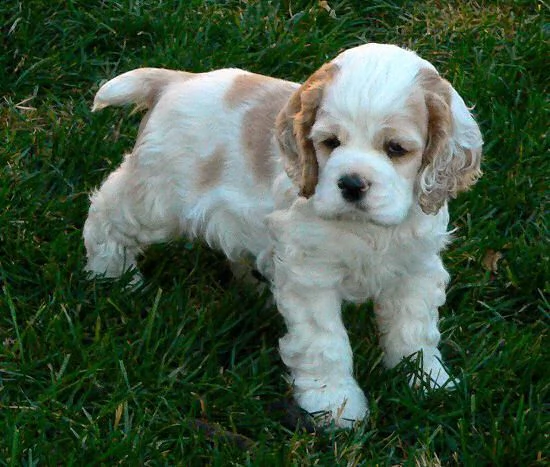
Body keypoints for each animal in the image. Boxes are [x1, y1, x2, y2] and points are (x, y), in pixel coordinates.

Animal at [84, 44, 486, 428]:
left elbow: (414, 332)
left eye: (396, 149)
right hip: (156, 195)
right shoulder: (311, 276)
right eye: (330, 142)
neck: (367, 230)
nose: (351, 183)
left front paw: (426, 382)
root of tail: (176, 81)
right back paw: (112, 277)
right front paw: (335, 406)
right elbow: (326, 343)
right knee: (106, 215)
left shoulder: (415, 269)